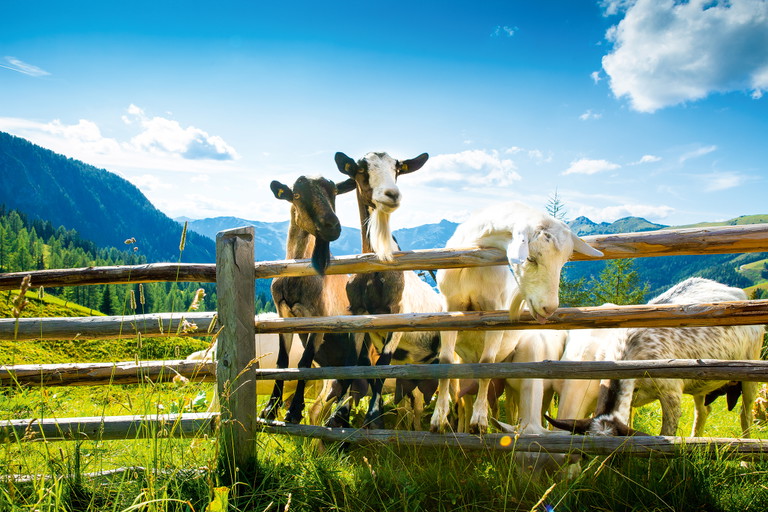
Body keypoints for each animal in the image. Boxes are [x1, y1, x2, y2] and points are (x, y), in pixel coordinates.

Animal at [260, 175, 366, 425]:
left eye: (335, 193)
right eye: (297, 195)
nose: (332, 225)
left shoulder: (318, 319)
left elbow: (304, 364)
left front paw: (293, 412)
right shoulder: (284, 316)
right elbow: (282, 362)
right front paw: (270, 408)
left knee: (353, 368)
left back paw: (340, 415)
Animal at [334, 151, 445, 429]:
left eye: (397, 169)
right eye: (361, 169)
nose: (392, 194)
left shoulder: (397, 317)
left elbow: (382, 367)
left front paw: (373, 417)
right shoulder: (357, 315)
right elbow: (354, 365)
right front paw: (339, 414)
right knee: (415, 399)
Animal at [429, 201, 604, 434]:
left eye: (563, 262)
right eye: (530, 258)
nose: (549, 308)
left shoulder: (493, 312)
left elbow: (487, 362)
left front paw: (480, 422)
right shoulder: (451, 308)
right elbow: (446, 361)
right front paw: (438, 419)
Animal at [547, 277, 764, 437]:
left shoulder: (671, 393)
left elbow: (666, 433)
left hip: (750, 367)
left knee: (745, 415)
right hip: (703, 377)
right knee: (703, 411)